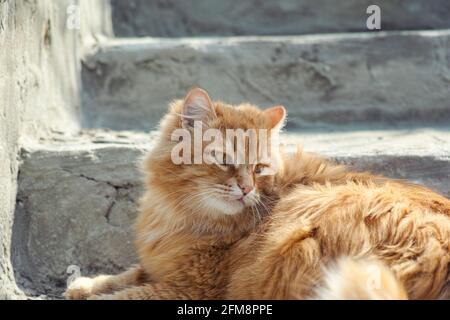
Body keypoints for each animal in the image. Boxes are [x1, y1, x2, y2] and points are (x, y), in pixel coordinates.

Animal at [65, 88, 448, 300]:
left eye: (260, 167)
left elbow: (124, 295)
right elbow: (125, 275)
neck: (178, 215)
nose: (247, 187)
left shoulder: (192, 287)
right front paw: (83, 285)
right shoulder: (161, 267)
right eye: (223, 159)